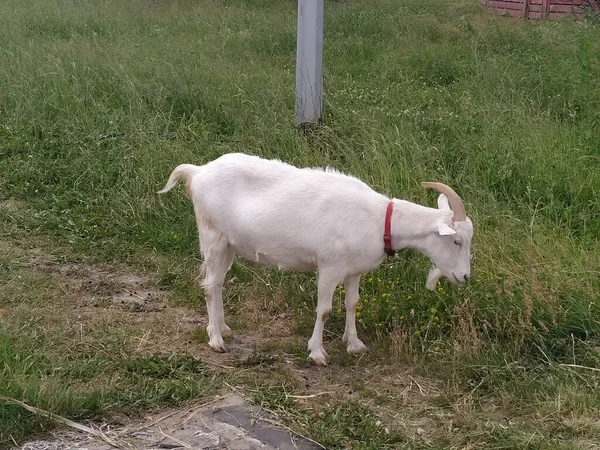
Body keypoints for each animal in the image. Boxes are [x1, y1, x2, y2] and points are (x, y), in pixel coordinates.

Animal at [159, 154, 474, 366]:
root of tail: (198, 172)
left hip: (230, 244)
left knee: (219, 283)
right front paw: (318, 353)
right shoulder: (329, 265)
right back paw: (216, 339)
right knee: (210, 285)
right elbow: (324, 309)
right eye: (456, 241)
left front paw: (354, 344)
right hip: (213, 235)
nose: (465, 277)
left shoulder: (354, 270)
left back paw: (223, 328)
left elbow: (352, 303)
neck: (380, 220)